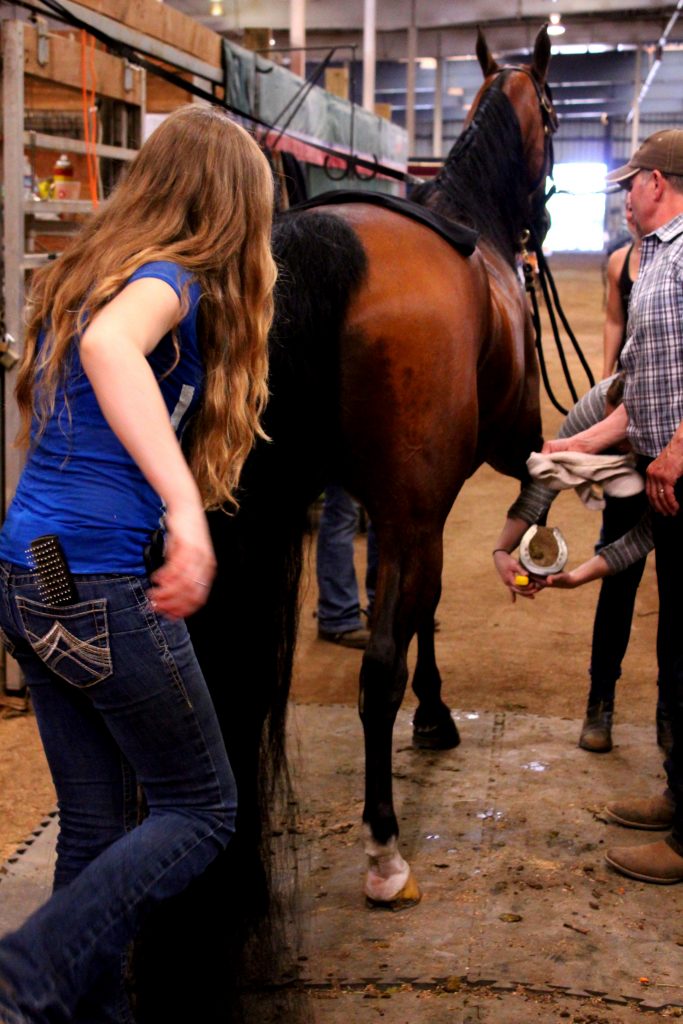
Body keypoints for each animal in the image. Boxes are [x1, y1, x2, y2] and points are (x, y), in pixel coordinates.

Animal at [136, 25, 557, 1024]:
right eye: (557, 116)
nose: (546, 223)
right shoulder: (448, 488)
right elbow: (420, 621)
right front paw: (435, 717)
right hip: (407, 514)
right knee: (374, 673)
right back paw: (384, 851)